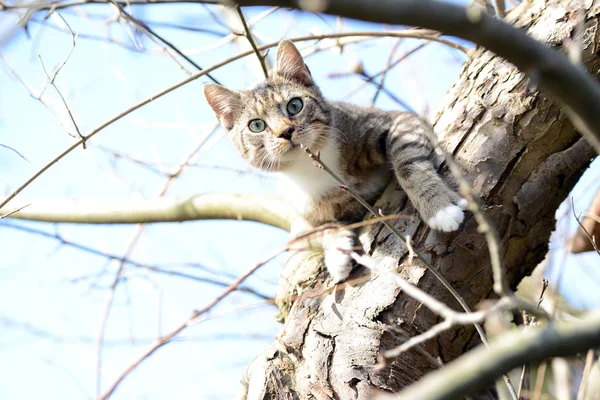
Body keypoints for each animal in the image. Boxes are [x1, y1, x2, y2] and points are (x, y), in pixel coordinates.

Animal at [204, 39, 466, 282]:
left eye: (295, 105)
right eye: (256, 125)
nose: (285, 132)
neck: (311, 167)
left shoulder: (397, 120)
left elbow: (408, 163)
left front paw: (439, 208)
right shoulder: (307, 211)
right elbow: (325, 227)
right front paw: (337, 253)